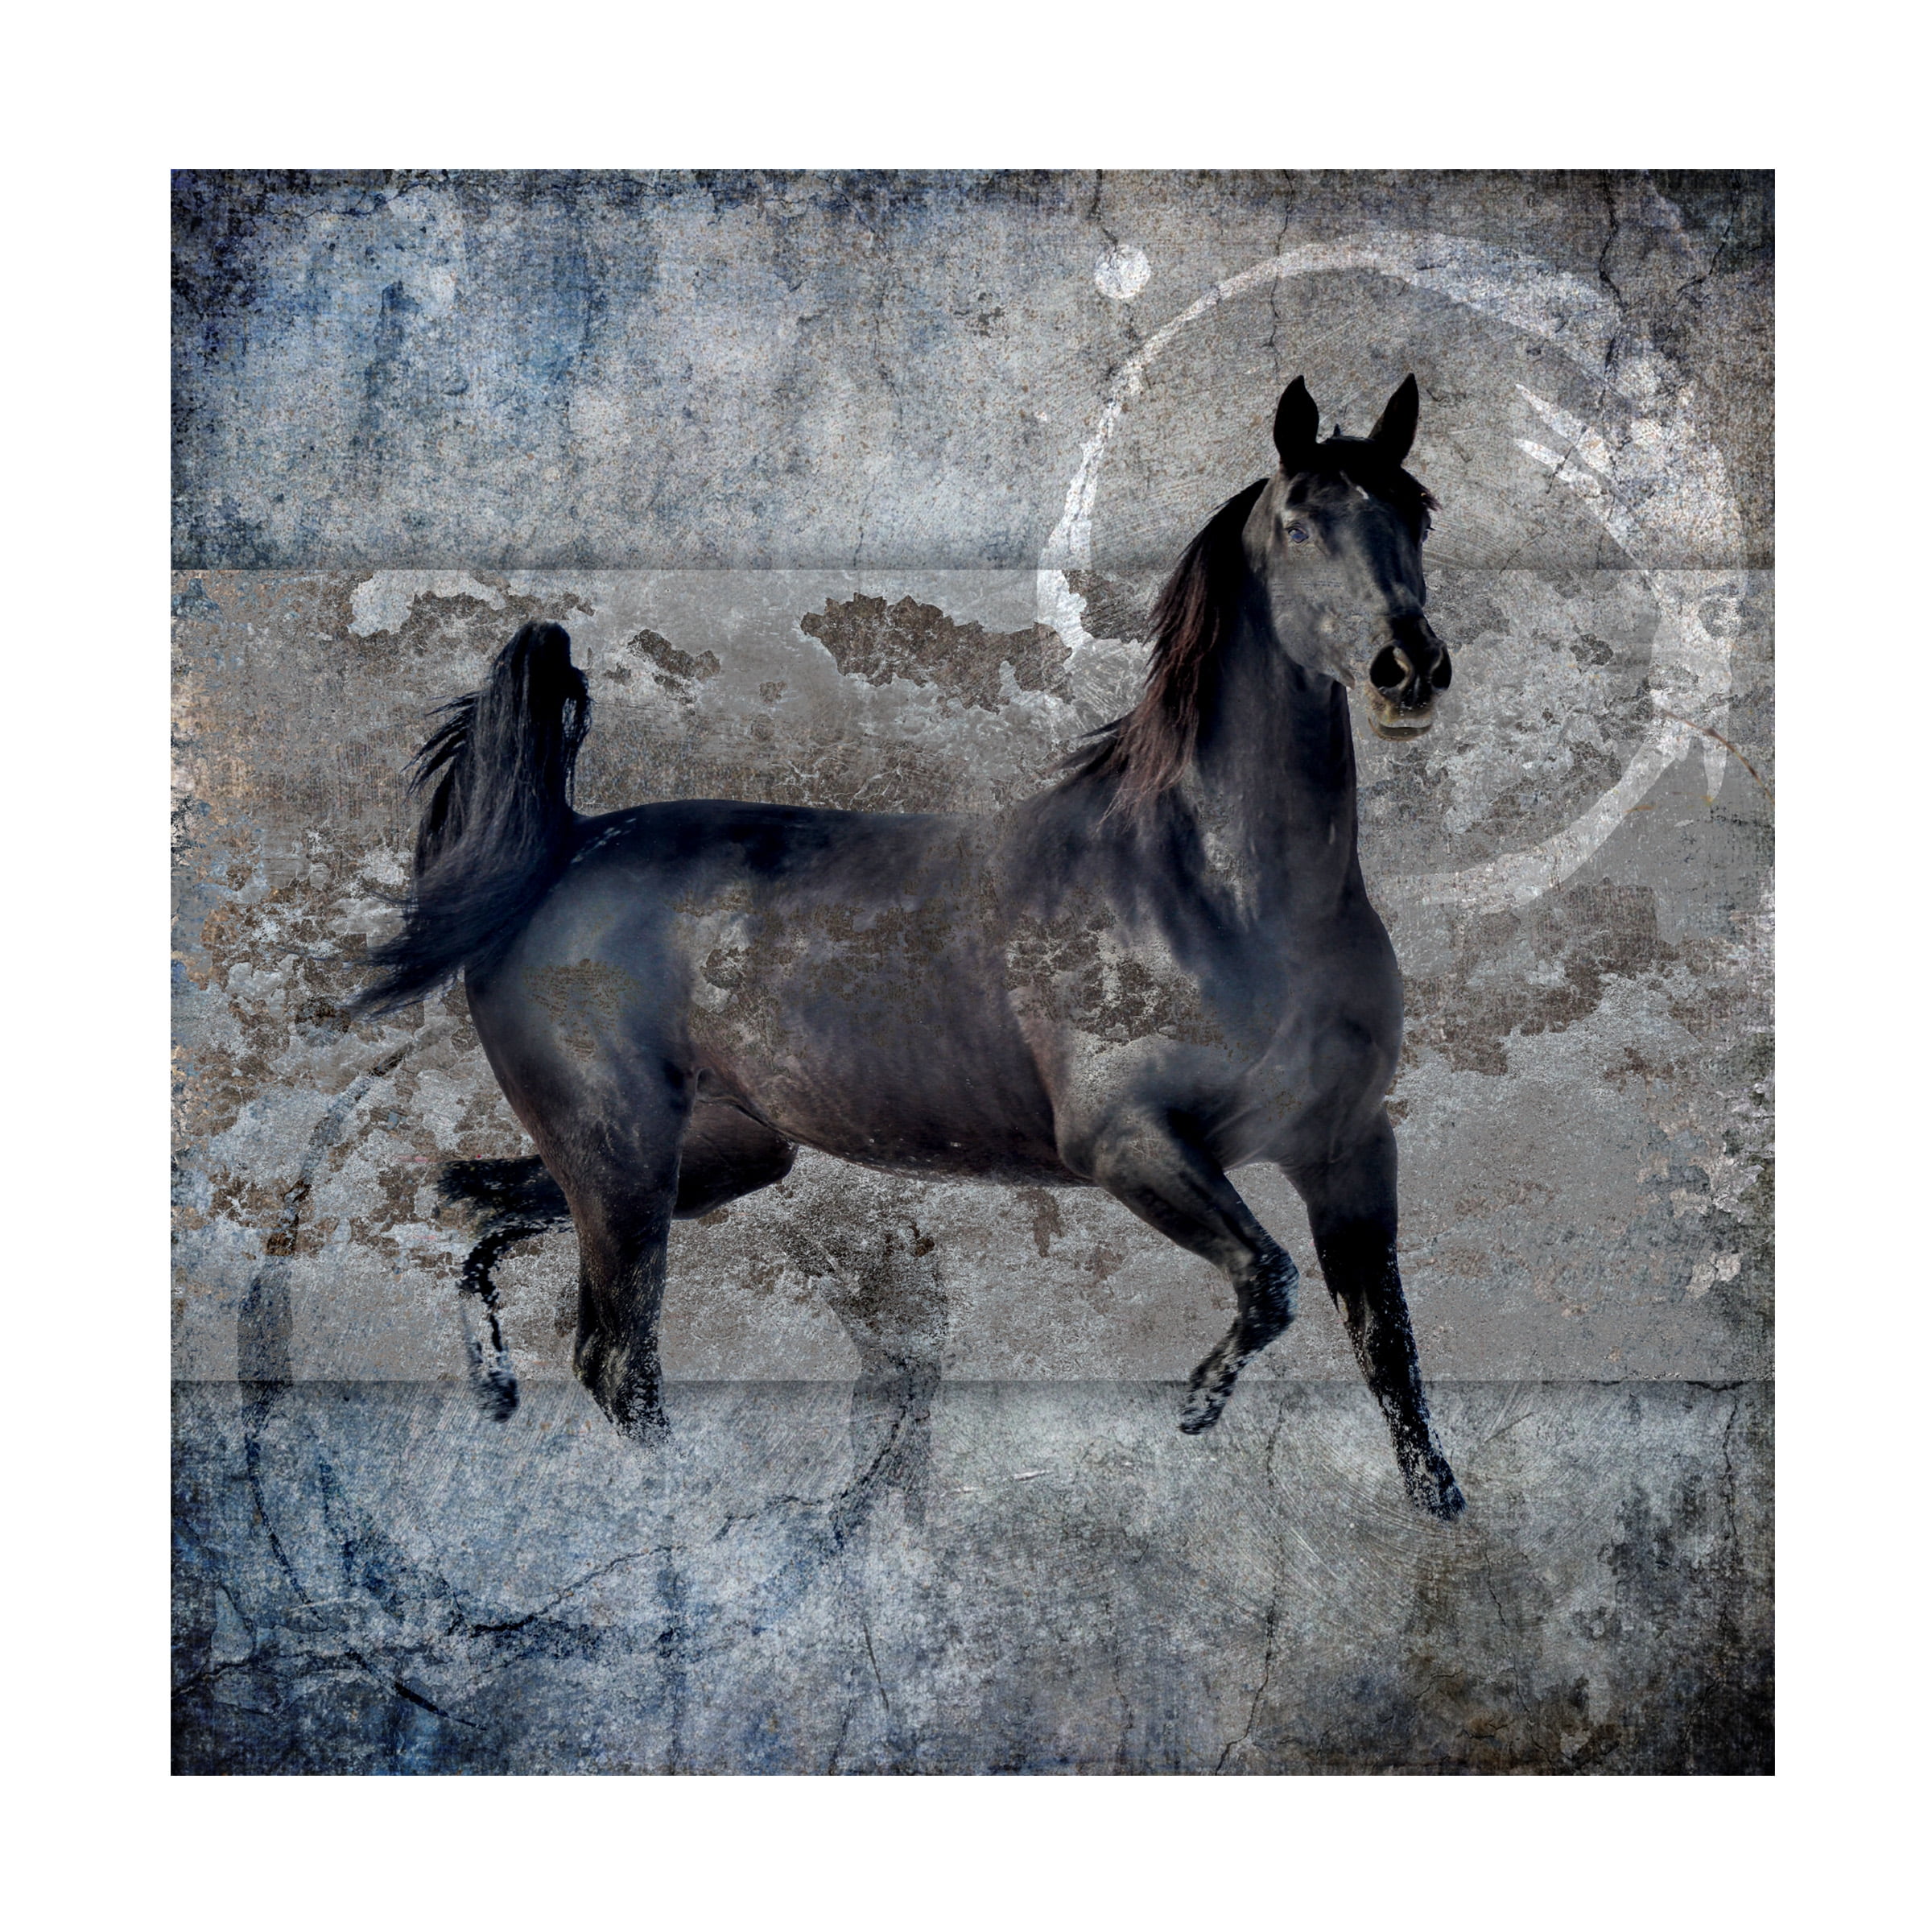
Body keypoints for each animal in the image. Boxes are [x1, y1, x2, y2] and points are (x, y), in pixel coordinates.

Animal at [357, 374, 1466, 1520]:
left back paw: (499, 1392)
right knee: (617, 1359)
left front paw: (1442, 1516)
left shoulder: (1347, 1149)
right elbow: (1270, 1283)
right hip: (620, 1154)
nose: (1408, 671)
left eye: (1416, 514)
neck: (1224, 899)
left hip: (709, 1156)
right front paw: (1196, 1406)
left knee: (490, 1223)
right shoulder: (1126, 1142)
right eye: (1300, 524)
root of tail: (567, 849)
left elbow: (1389, 1349)